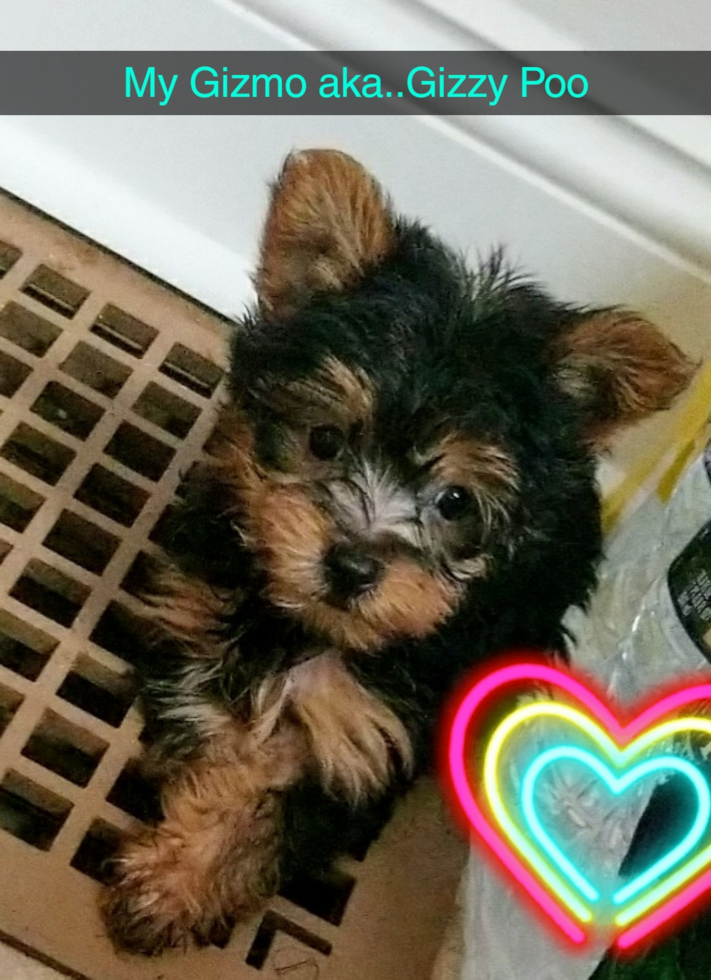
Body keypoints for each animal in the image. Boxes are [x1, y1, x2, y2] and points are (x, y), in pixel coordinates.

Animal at [101, 149, 696, 952]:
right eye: (324, 440)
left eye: (454, 503)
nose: (351, 566)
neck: (308, 631)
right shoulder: (193, 617)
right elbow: (213, 715)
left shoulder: (361, 739)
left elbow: (270, 808)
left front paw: (174, 886)